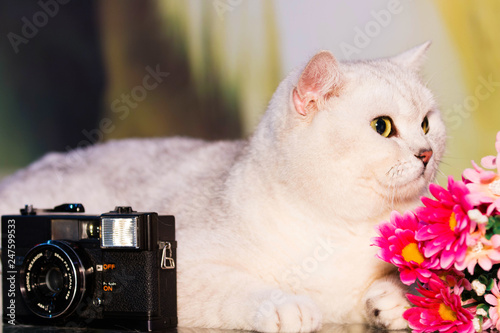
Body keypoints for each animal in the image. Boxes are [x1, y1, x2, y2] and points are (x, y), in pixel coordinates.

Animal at [0, 42, 446, 330]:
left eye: (427, 124)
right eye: (382, 127)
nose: (426, 153)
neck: (337, 229)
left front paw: (393, 298)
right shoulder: (182, 270)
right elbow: (236, 287)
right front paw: (286, 306)